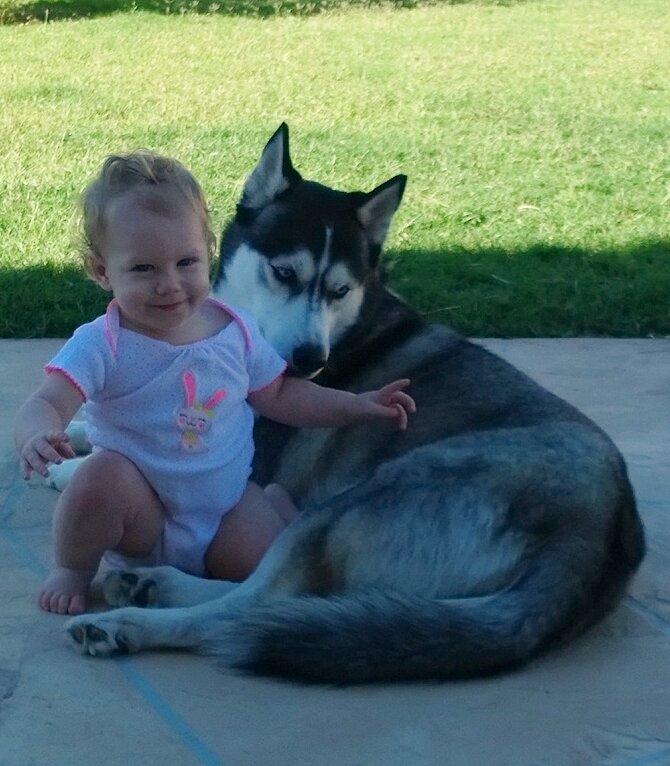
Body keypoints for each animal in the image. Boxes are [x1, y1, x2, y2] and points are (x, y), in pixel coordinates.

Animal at [64, 124, 645, 683]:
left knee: (244, 610)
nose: (309, 360)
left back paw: (128, 622)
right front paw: (73, 433)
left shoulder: (243, 463)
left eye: (340, 290)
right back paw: (147, 583)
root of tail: (597, 537)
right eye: (286, 273)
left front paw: (69, 467)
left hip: (350, 503)